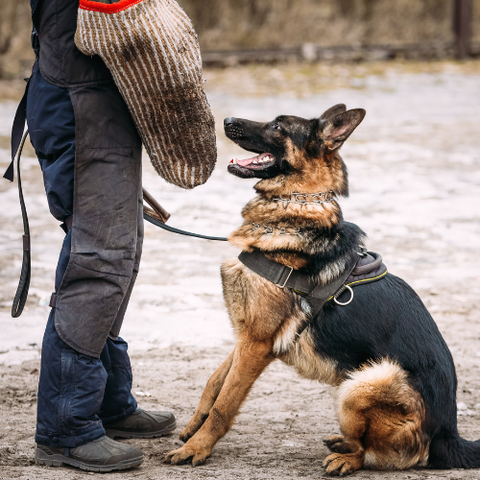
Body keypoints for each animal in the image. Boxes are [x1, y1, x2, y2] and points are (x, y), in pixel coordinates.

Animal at [165, 103, 480, 474]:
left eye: (278, 126)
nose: (225, 120)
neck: (296, 202)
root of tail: (449, 434)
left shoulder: (257, 343)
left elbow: (225, 403)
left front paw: (197, 448)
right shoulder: (249, 335)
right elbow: (215, 382)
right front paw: (193, 428)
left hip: (364, 381)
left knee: (372, 454)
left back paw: (345, 457)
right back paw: (341, 442)